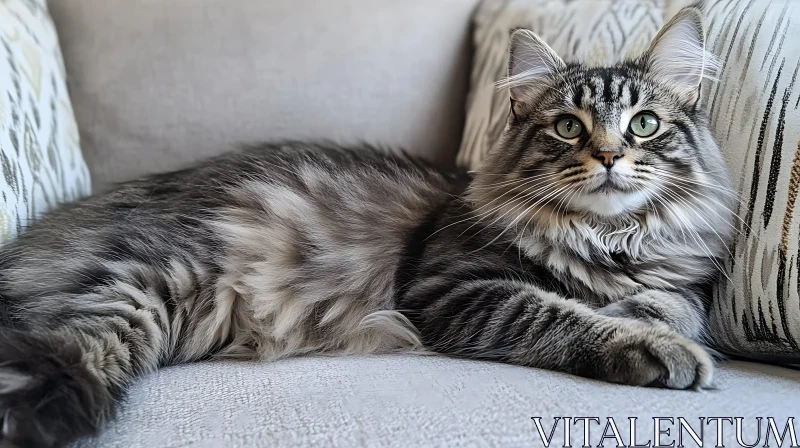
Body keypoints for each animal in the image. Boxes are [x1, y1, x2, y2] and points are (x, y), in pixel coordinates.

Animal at [0, 7, 736, 448]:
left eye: (644, 124)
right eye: (567, 127)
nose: (609, 156)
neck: (606, 240)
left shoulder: (677, 277)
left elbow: (680, 303)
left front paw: (646, 311)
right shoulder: (452, 287)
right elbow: (559, 313)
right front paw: (650, 342)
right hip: (152, 283)